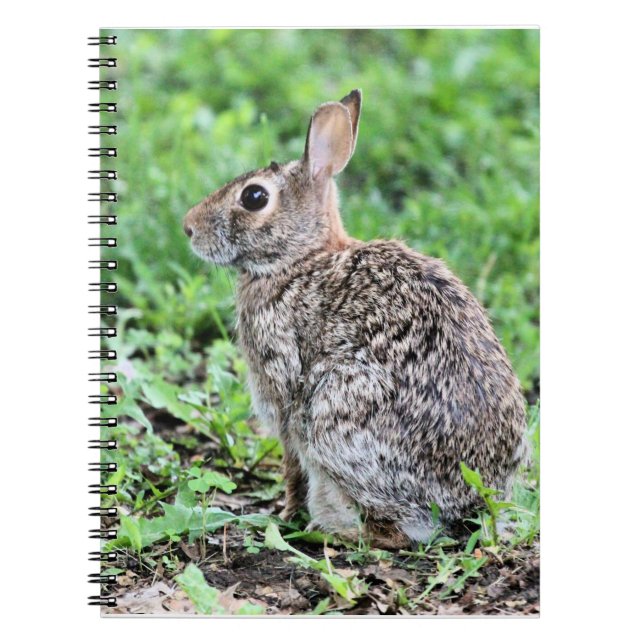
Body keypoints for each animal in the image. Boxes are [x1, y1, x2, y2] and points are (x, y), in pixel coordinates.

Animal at [183, 89, 527, 548]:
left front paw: (285, 513)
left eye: (254, 197)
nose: (188, 227)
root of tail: (471, 497)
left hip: (336, 413)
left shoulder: (284, 394)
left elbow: (291, 465)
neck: (300, 259)